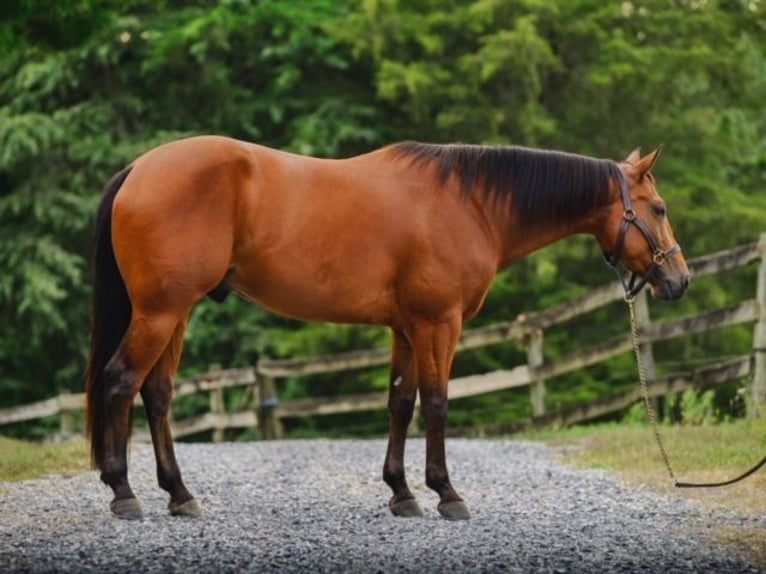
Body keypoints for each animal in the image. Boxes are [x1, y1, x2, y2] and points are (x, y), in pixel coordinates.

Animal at [85, 136, 689, 521]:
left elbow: (400, 403)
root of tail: (139, 169)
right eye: (659, 208)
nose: (679, 280)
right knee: (119, 382)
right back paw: (123, 493)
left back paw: (179, 494)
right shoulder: (439, 324)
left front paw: (402, 493)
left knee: (157, 395)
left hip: (176, 313)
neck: (470, 204)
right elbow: (437, 403)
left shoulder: (405, 328)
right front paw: (446, 493)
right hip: (161, 312)